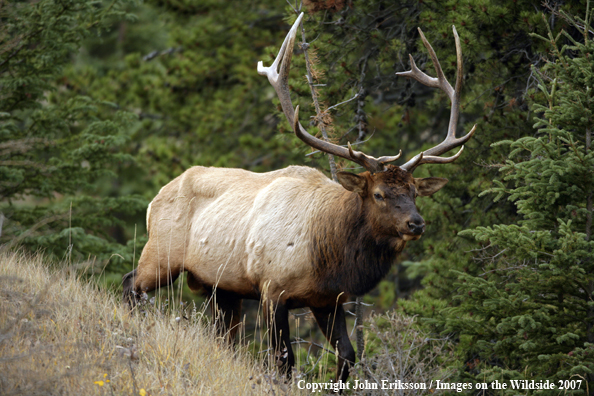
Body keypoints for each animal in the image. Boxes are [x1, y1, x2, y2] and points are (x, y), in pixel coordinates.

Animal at [121, 11, 476, 384]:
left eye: (414, 191)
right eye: (379, 194)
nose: (416, 223)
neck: (328, 253)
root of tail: (154, 198)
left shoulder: (328, 298)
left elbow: (347, 355)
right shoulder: (271, 287)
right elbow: (284, 359)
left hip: (222, 287)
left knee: (223, 336)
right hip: (162, 253)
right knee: (131, 283)